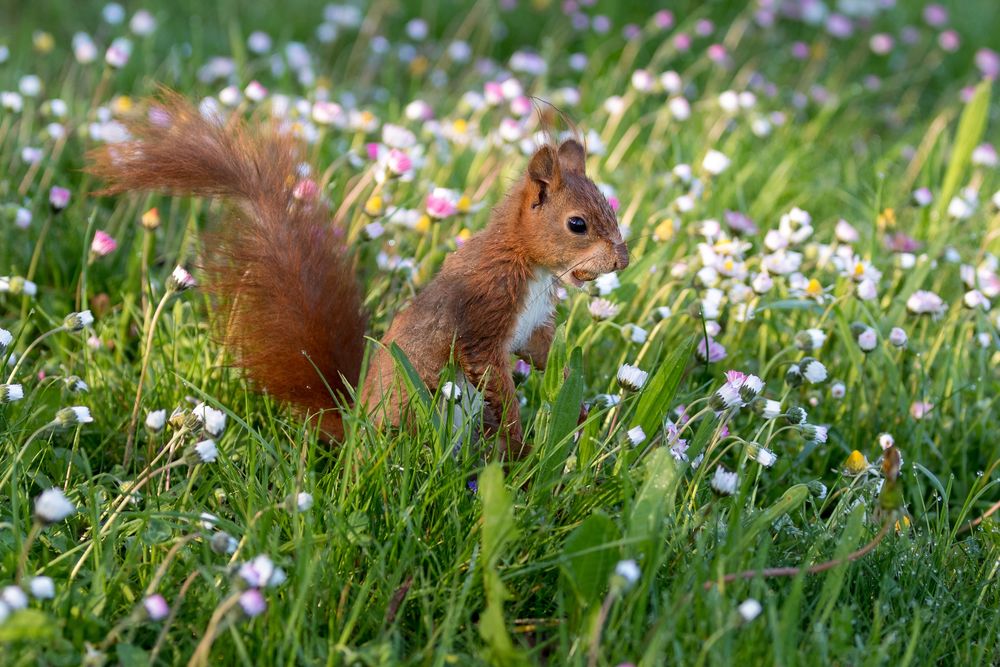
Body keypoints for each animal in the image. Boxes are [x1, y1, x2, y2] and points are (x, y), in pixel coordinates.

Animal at [87, 92, 629, 459]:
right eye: (577, 224)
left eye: (609, 207)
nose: (622, 260)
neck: (530, 266)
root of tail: (354, 432)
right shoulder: (484, 314)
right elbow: (491, 371)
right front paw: (519, 440)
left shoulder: (531, 321)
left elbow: (539, 351)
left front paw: (571, 394)